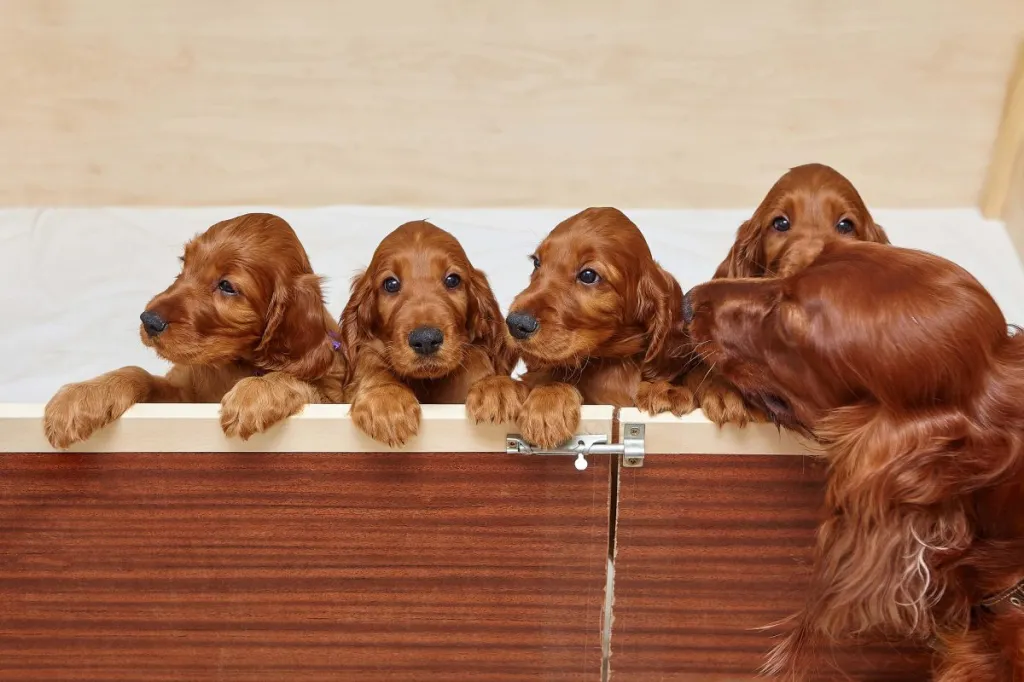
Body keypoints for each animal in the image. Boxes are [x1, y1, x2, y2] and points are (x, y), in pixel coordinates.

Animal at [43, 212, 348, 446]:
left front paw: (254, 392)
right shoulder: (183, 397)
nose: (148, 320)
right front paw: (81, 396)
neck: (231, 364)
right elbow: (139, 373)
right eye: (184, 262)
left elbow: (298, 382)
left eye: (227, 286)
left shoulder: (331, 397)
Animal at [344, 220, 516, 448]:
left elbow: (476, 355)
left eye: (452, 280)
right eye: (391, 284)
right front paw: (386, 399)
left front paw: (491, 385)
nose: (425, 339)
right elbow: (369, 359)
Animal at [475, 206, 700, 448]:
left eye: (588, 275)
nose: (516, 324)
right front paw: (502, 389)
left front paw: (666, 390)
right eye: (536, 262)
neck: (608, 361)